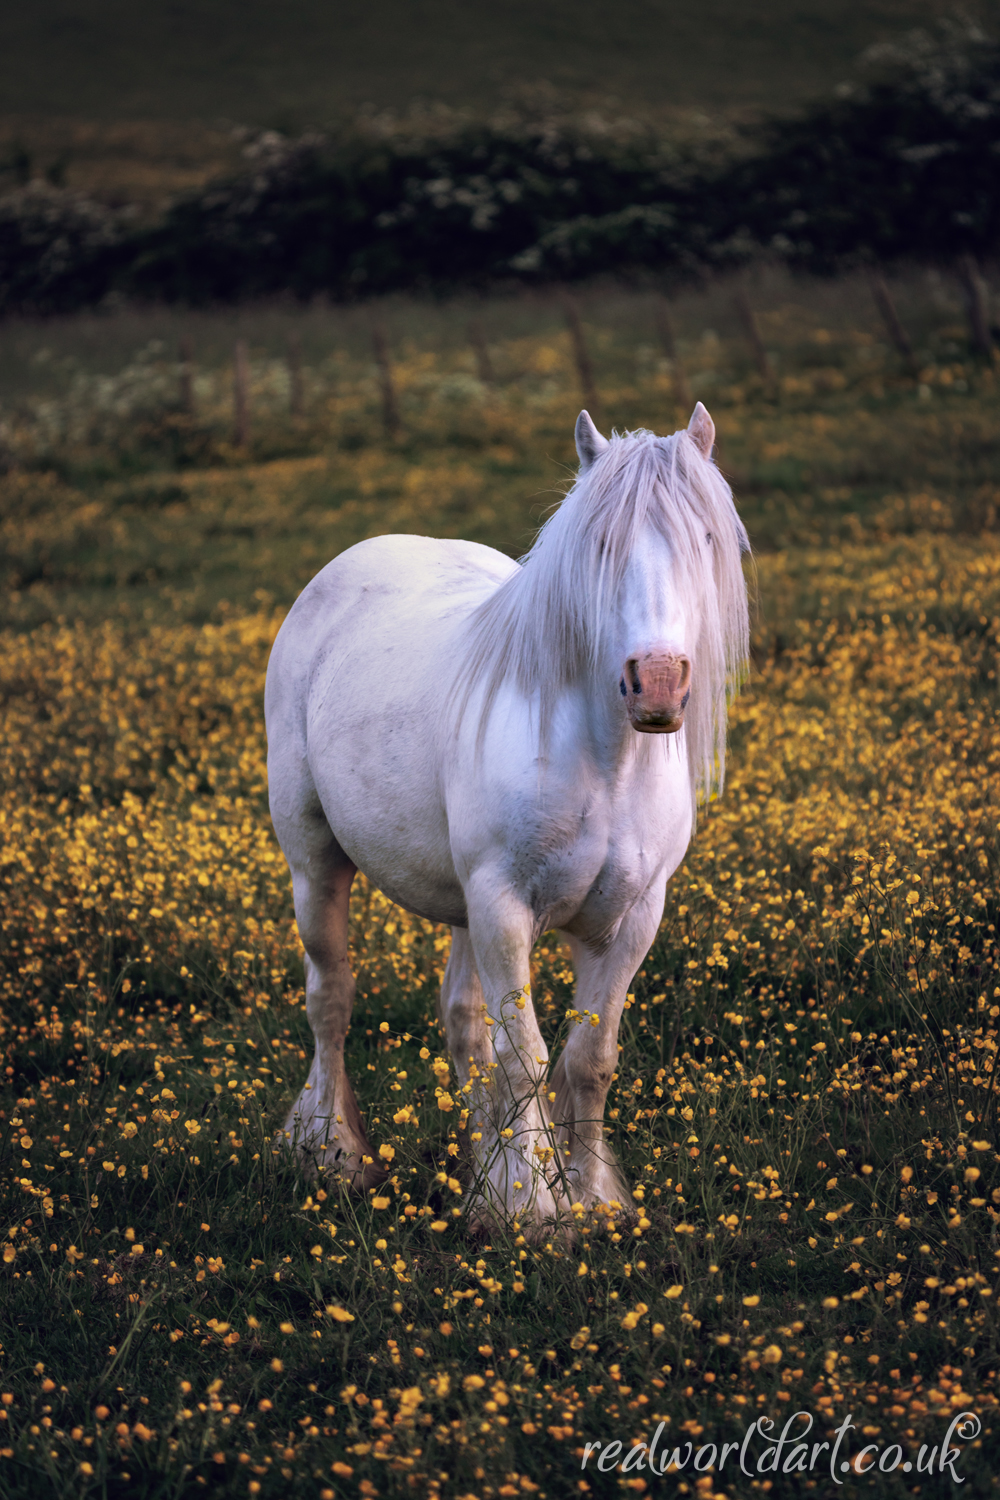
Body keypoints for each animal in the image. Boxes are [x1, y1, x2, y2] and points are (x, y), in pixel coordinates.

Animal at [265, 405, 749, 1236]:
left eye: (707, 539)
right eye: (599, 546)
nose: (655, 682)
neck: (605, 761)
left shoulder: (631, 919)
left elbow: (587, 1060)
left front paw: (587, 1198)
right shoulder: (504, 906)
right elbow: (525, 1056)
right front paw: (532, 1205)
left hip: (464, 910)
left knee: (462, 1023)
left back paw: (476, 1168)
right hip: (316, 865)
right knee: (331, 1000)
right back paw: (337, 1154)